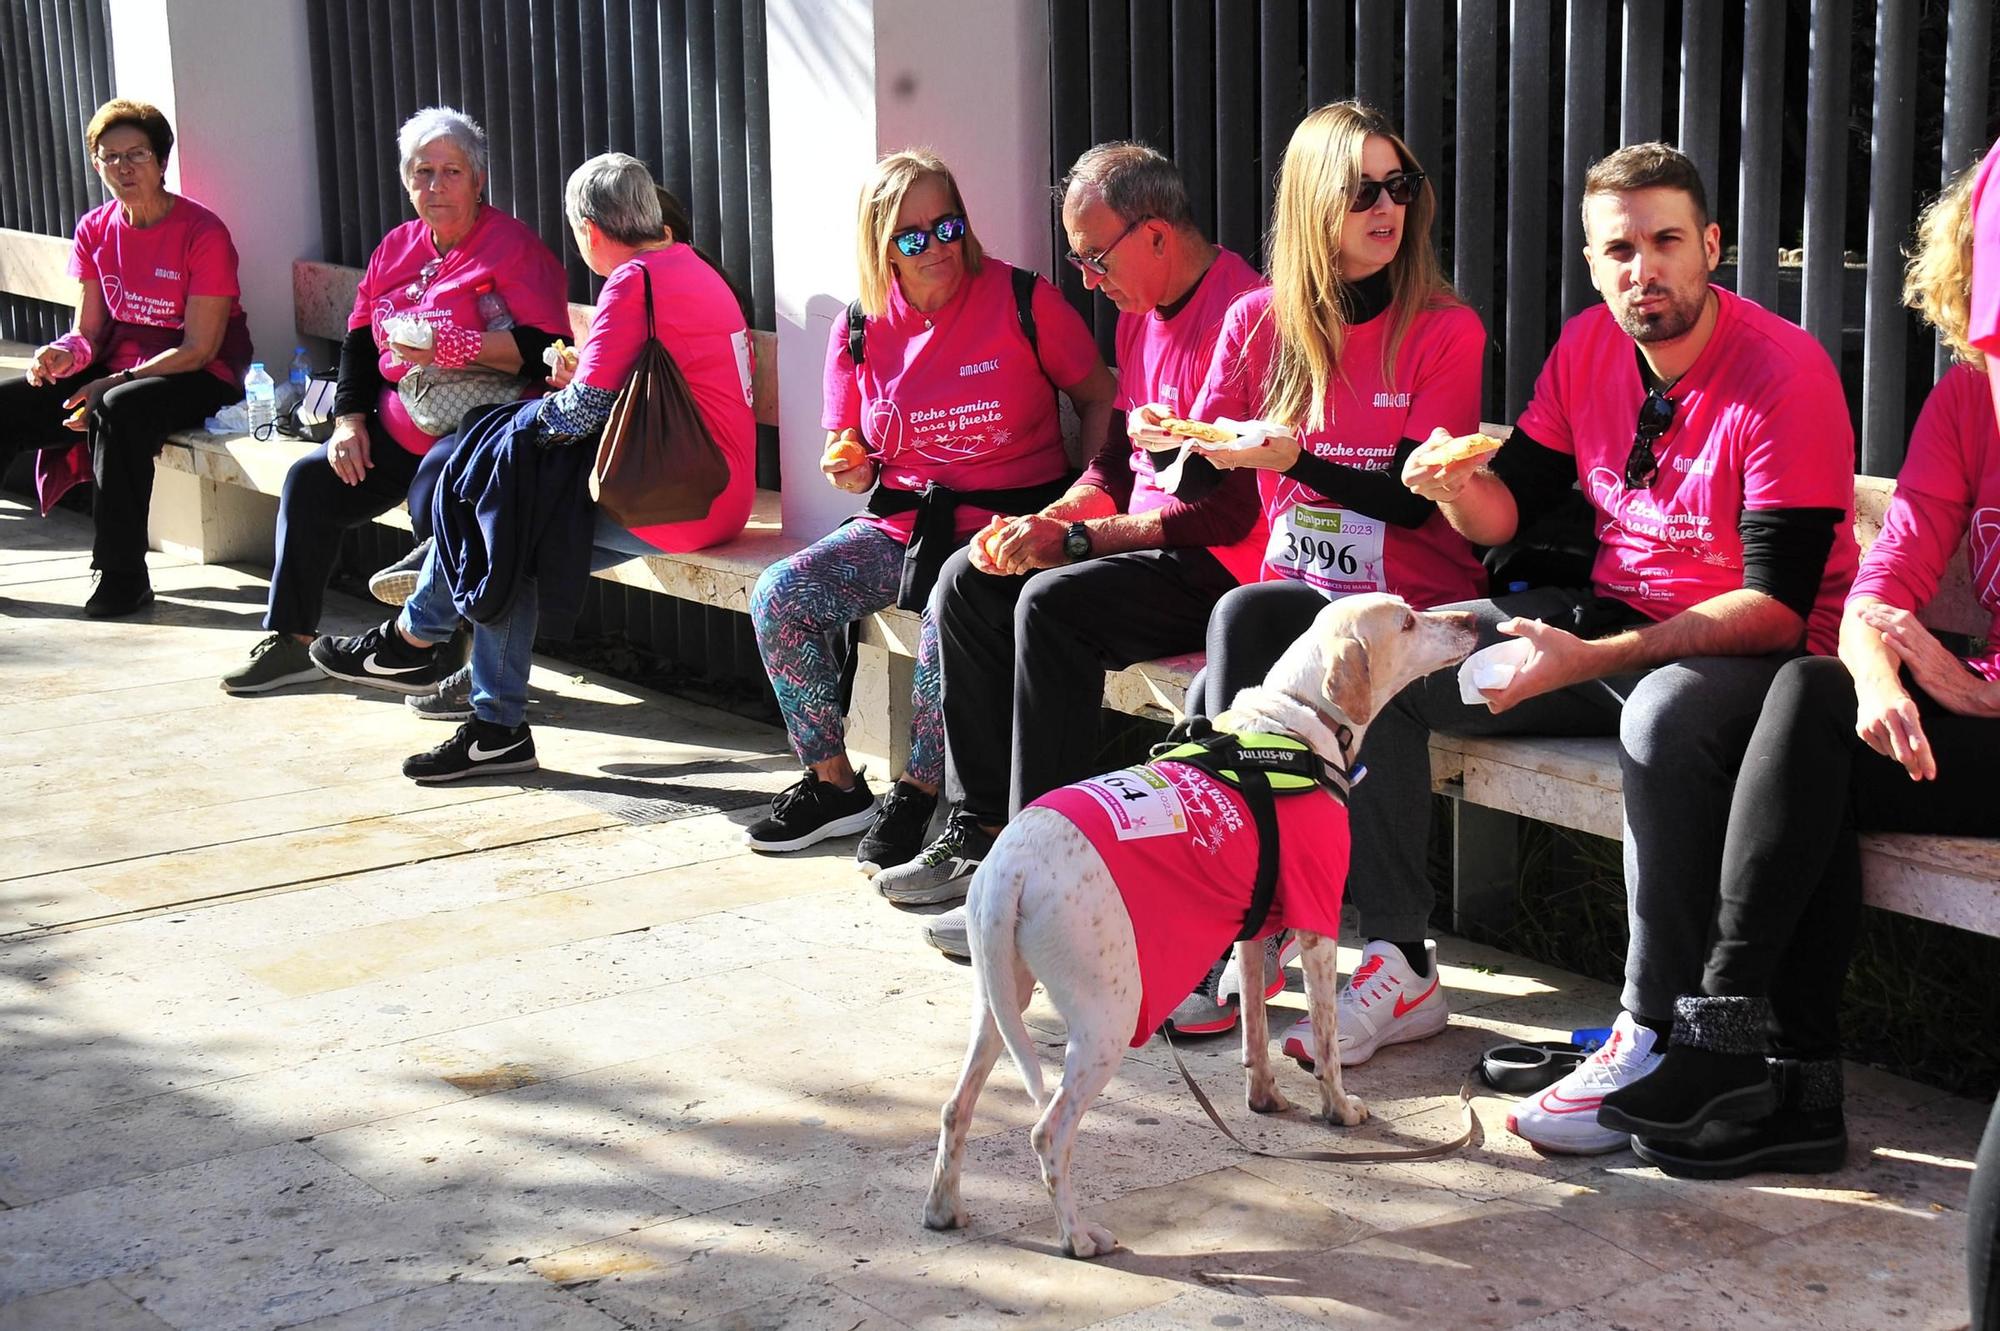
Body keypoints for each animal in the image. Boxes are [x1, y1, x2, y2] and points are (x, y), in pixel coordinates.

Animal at [928, 591, 1480, 1255]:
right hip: (1105, 1024)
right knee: (1047, 1132)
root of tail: (1010, 862)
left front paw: (1264, 1099)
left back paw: (944, 1210)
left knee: (955, 1108)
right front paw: (1339, 1111)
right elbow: (1324, 1044)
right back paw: (1078, 1237)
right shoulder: (1318, 927)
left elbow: (1256, 1032)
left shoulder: (1252, 928)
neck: (1296, 722)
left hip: (999, 1005)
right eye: (1406, 621)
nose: (1473, 620)